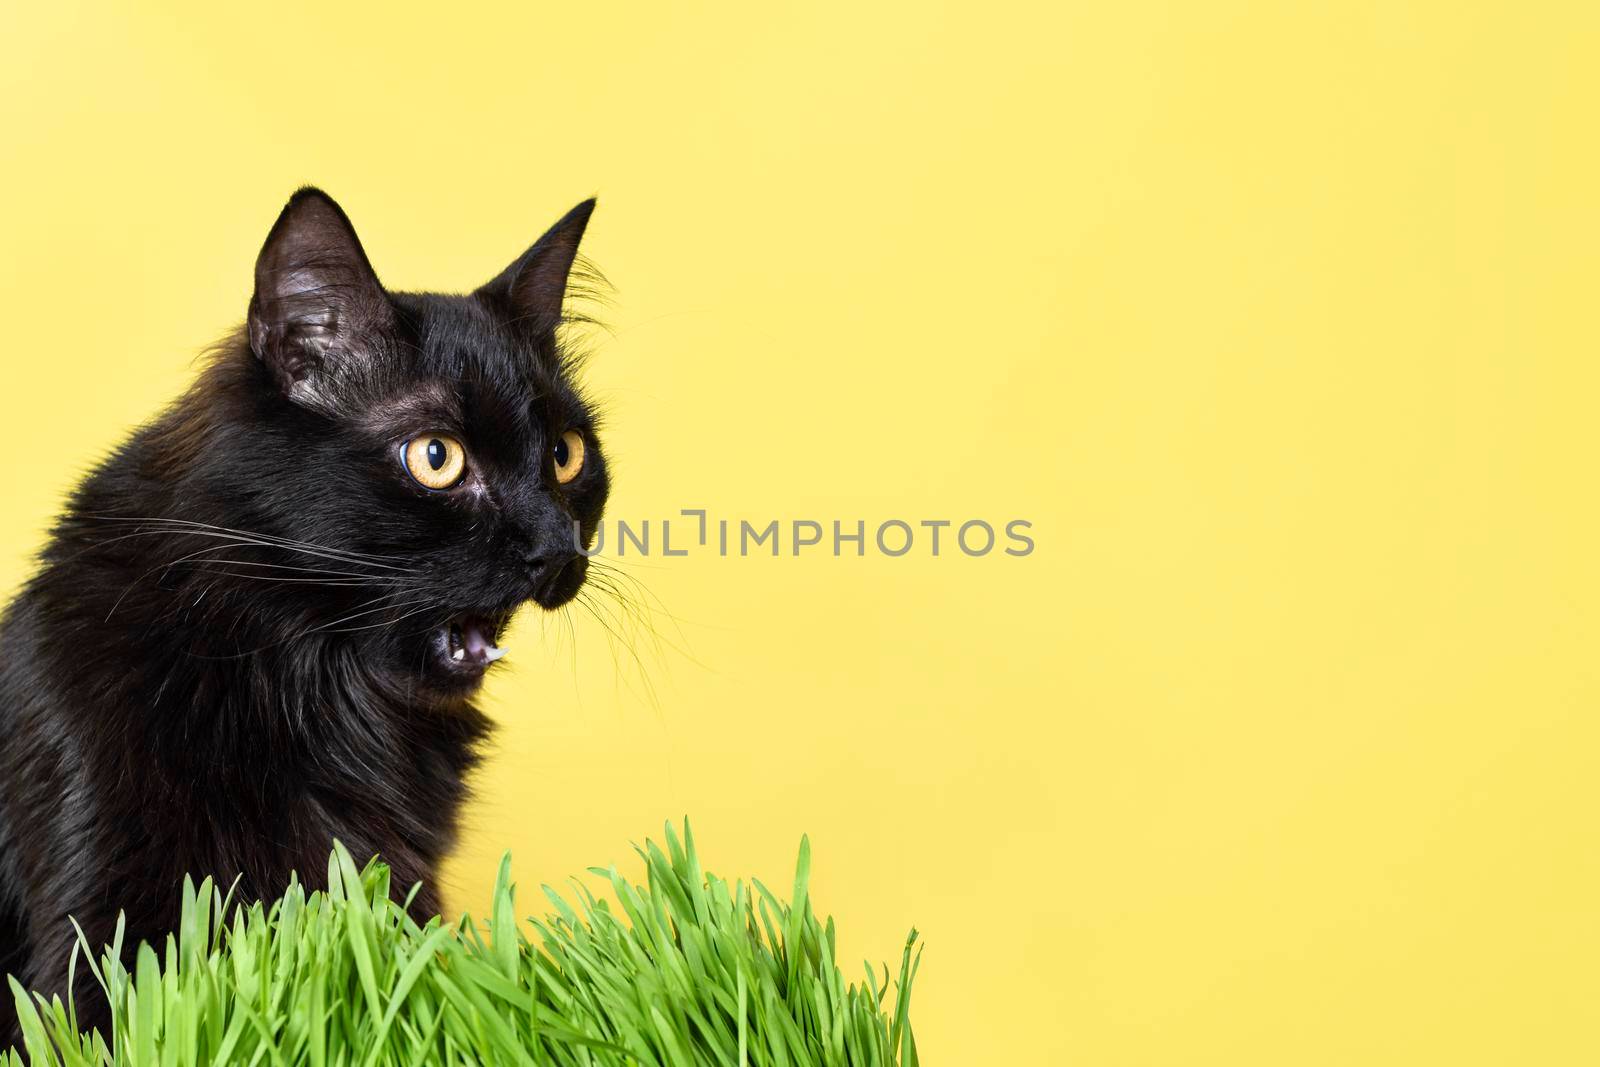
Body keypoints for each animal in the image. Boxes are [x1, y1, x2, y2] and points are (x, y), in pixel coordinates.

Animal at [0, 185, 608, 1043]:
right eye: (436, 457)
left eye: (565, 454)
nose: (558, 550)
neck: (304, 687)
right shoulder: (101, 920)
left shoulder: (392, 884)